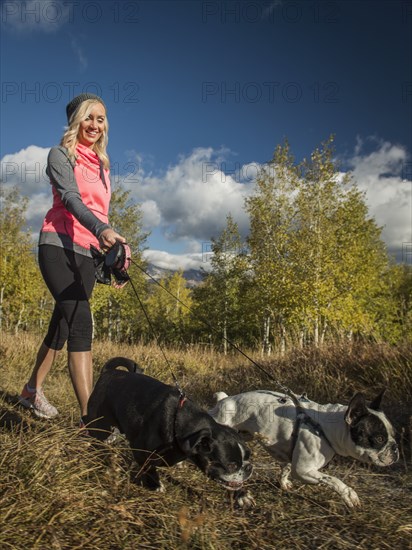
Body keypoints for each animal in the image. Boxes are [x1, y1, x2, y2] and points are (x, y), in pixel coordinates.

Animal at [85, 358, 253, 496]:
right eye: (231, 465)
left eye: (247, 457)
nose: (248, 468)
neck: (178, 422)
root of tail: (108, 372)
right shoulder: (141, 450)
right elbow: (149, 467)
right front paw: (155, 485)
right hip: (100, 425)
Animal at [209, 392, 400, 508]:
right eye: (379, 439)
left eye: (393, 435)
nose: (395, 448)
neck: (326, 428)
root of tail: (223, 401)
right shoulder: (303, 470)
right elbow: (333, 480)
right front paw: (349, 494)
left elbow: (285, 468)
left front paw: (284, 483)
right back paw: (242, 497)